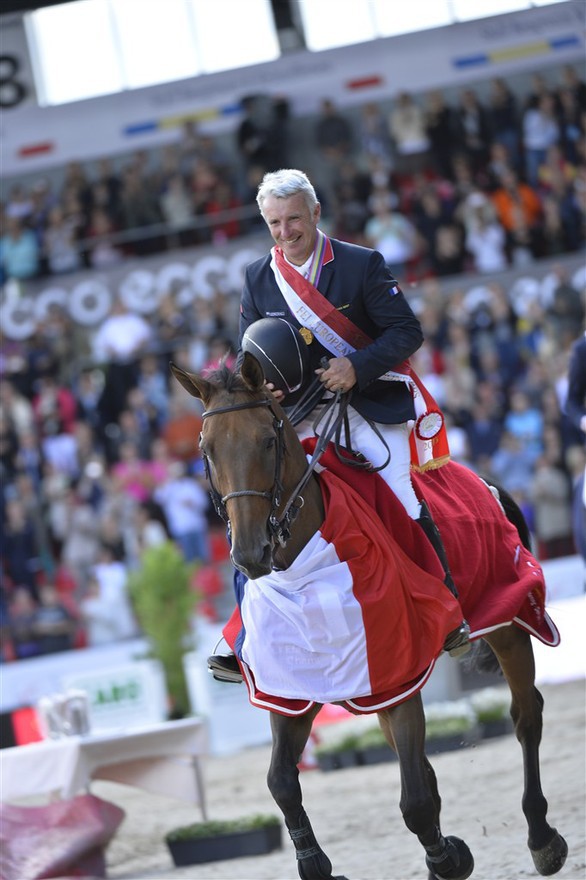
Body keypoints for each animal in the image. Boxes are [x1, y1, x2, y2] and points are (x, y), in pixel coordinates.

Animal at [169, 356, 564, 880]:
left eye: (268, 440)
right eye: (207, 450)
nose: (250, 553)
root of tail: (484, 481)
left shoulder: (399, 674)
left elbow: (414, 802)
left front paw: (449, 858)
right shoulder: (291, 686)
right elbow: (281, 783)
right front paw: (318, 864)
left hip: (508, 622)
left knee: (525, 716)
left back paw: (543, 838)